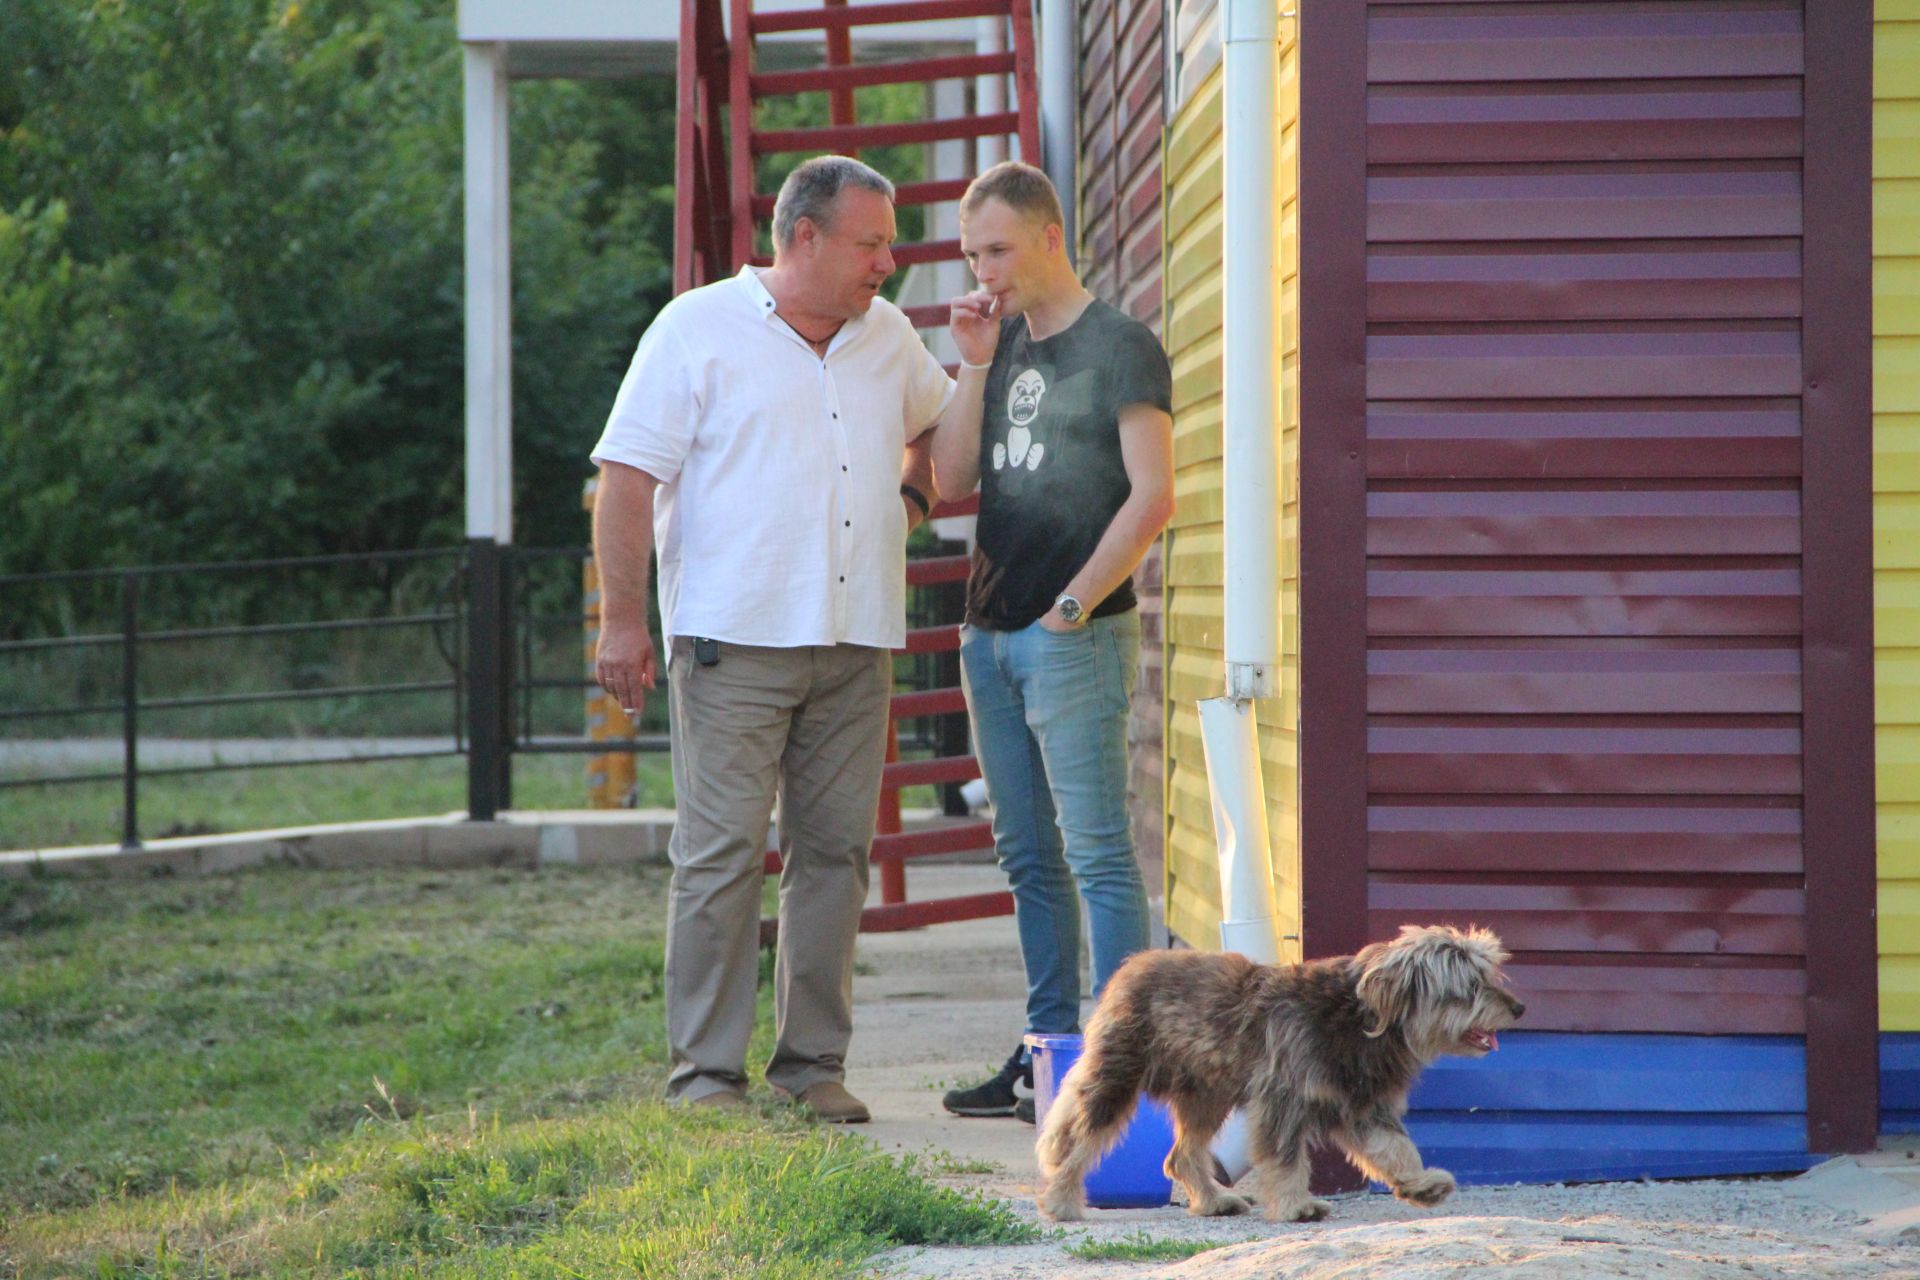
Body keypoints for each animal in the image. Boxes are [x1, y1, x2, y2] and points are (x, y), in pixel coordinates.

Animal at [1044, 932, 1520, 1220]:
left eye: (1489, 974)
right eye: (1471, 985)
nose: (1519, 1007)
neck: (1360, 1017)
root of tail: (1133, 964)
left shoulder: (1363, 1105)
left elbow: (1396, 1148)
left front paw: (1420, 1184)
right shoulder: (1283, 1100)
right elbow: (1286, 1157)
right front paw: (1296, 1205)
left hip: (1206, 1097)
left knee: (1181, 1156)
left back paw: (1213, 1200)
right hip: (1114, 1081)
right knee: (1071, 1140)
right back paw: (1060, 1199)